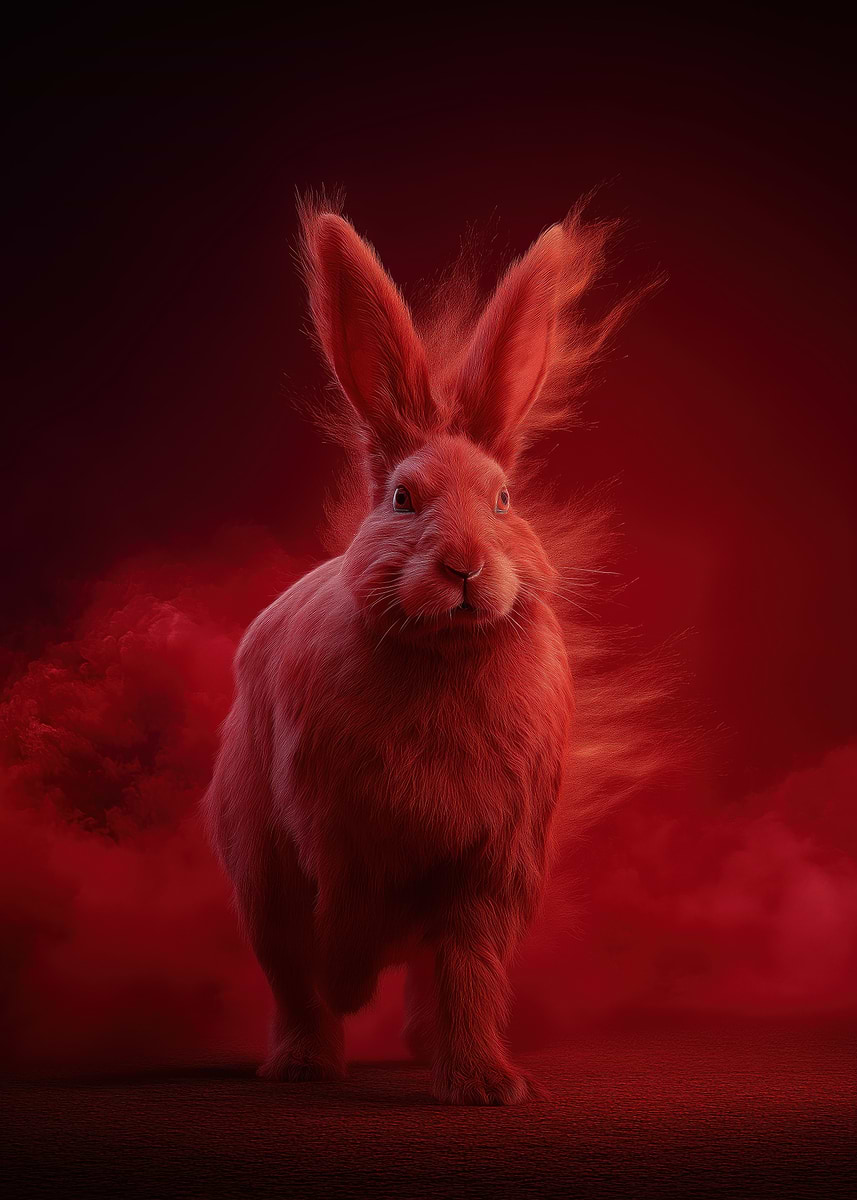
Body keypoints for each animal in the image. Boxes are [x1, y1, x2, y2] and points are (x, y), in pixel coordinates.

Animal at [204, 198, 637, 1105]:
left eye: (504, 498)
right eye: (403, 498)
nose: (464, 567)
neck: (443, 652)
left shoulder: (489, 869)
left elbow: (466, 968)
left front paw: (486, 1086)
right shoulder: (333, 841)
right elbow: (337, 946)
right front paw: (355, 993)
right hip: (258, 870)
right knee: (294, 979)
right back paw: (303, 1065)